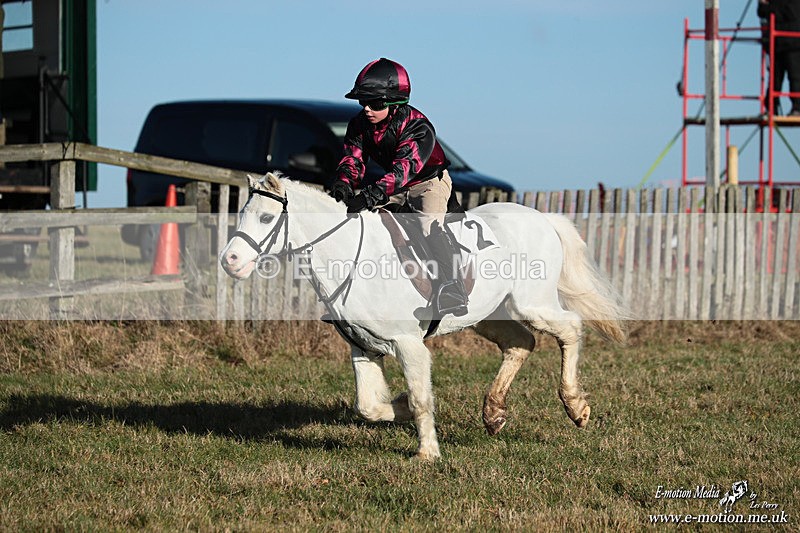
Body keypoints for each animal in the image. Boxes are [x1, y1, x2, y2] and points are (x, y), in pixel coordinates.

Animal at [220, 172, 628, 461]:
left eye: (267, 217)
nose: (230, 261)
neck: (351, 256)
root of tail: (543, 218)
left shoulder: (409, 344)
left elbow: (420, 398)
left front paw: (427, 453)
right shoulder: (363, 347)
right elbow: (369, 406)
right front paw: (397, 405)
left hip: (532, 303)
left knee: (570, 328)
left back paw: (576, 407)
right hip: (487, 315)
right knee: (520, 343)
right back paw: (494, 412)